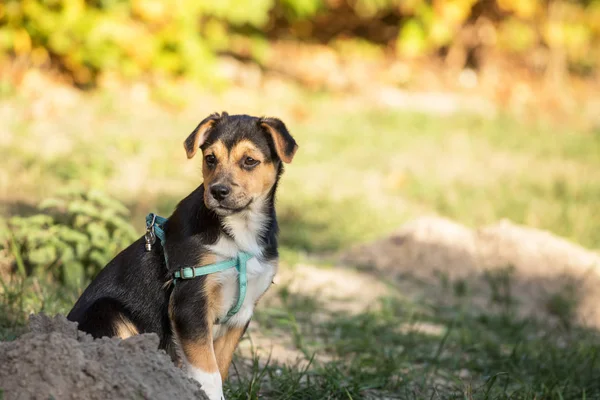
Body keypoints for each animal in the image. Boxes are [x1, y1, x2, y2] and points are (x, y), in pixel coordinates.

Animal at [68, 112, 298, 400]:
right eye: (210, 158)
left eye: (249, 161)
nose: (218, 192)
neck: (238, 233)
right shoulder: (190, 301)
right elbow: (207, 369)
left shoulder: (242, 312)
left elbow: (220, 365)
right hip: (108, 312)